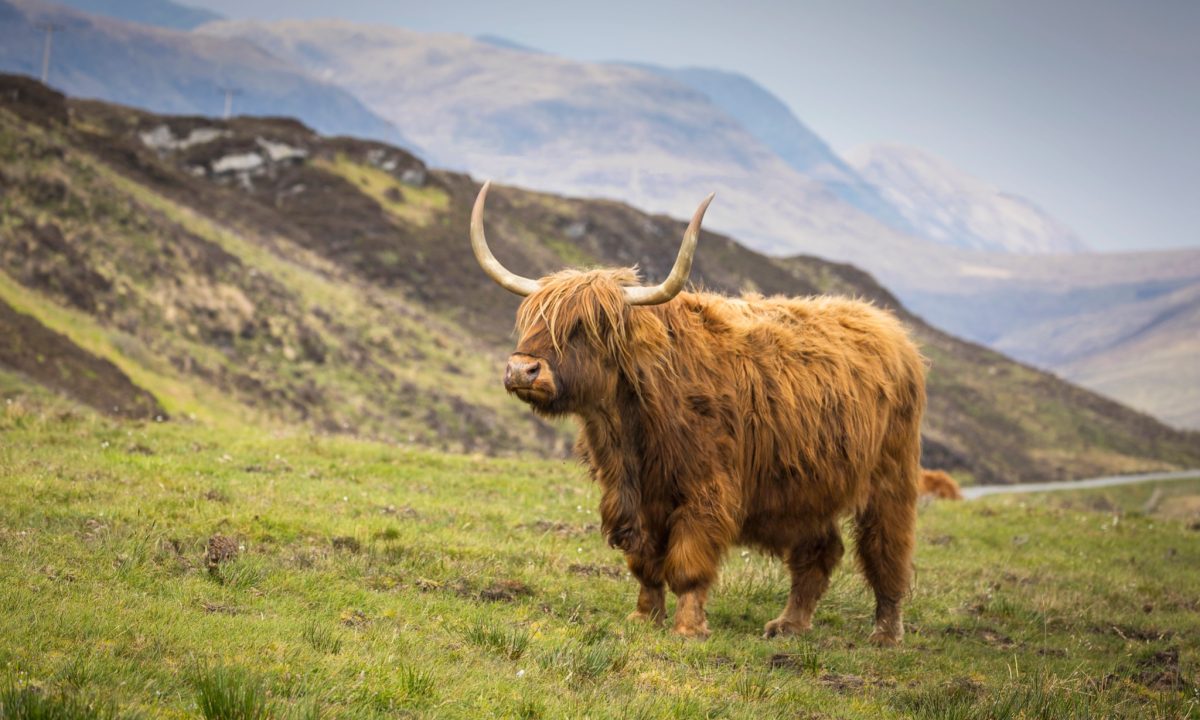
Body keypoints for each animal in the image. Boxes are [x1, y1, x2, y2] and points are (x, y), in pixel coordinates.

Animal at [468, 182, 926, 643]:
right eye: (531, 319)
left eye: (587, 326)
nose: (521, 370)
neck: (626, 428)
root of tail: (891, 330)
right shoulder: (635, 499)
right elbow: (645, 563)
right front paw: (644, 616)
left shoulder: (706, 491)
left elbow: (689, 562)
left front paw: (689, 628)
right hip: (810, 486)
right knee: (819, 550)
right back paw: (789, 624)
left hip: (890, 478)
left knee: (887, 551)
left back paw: (886, 634)